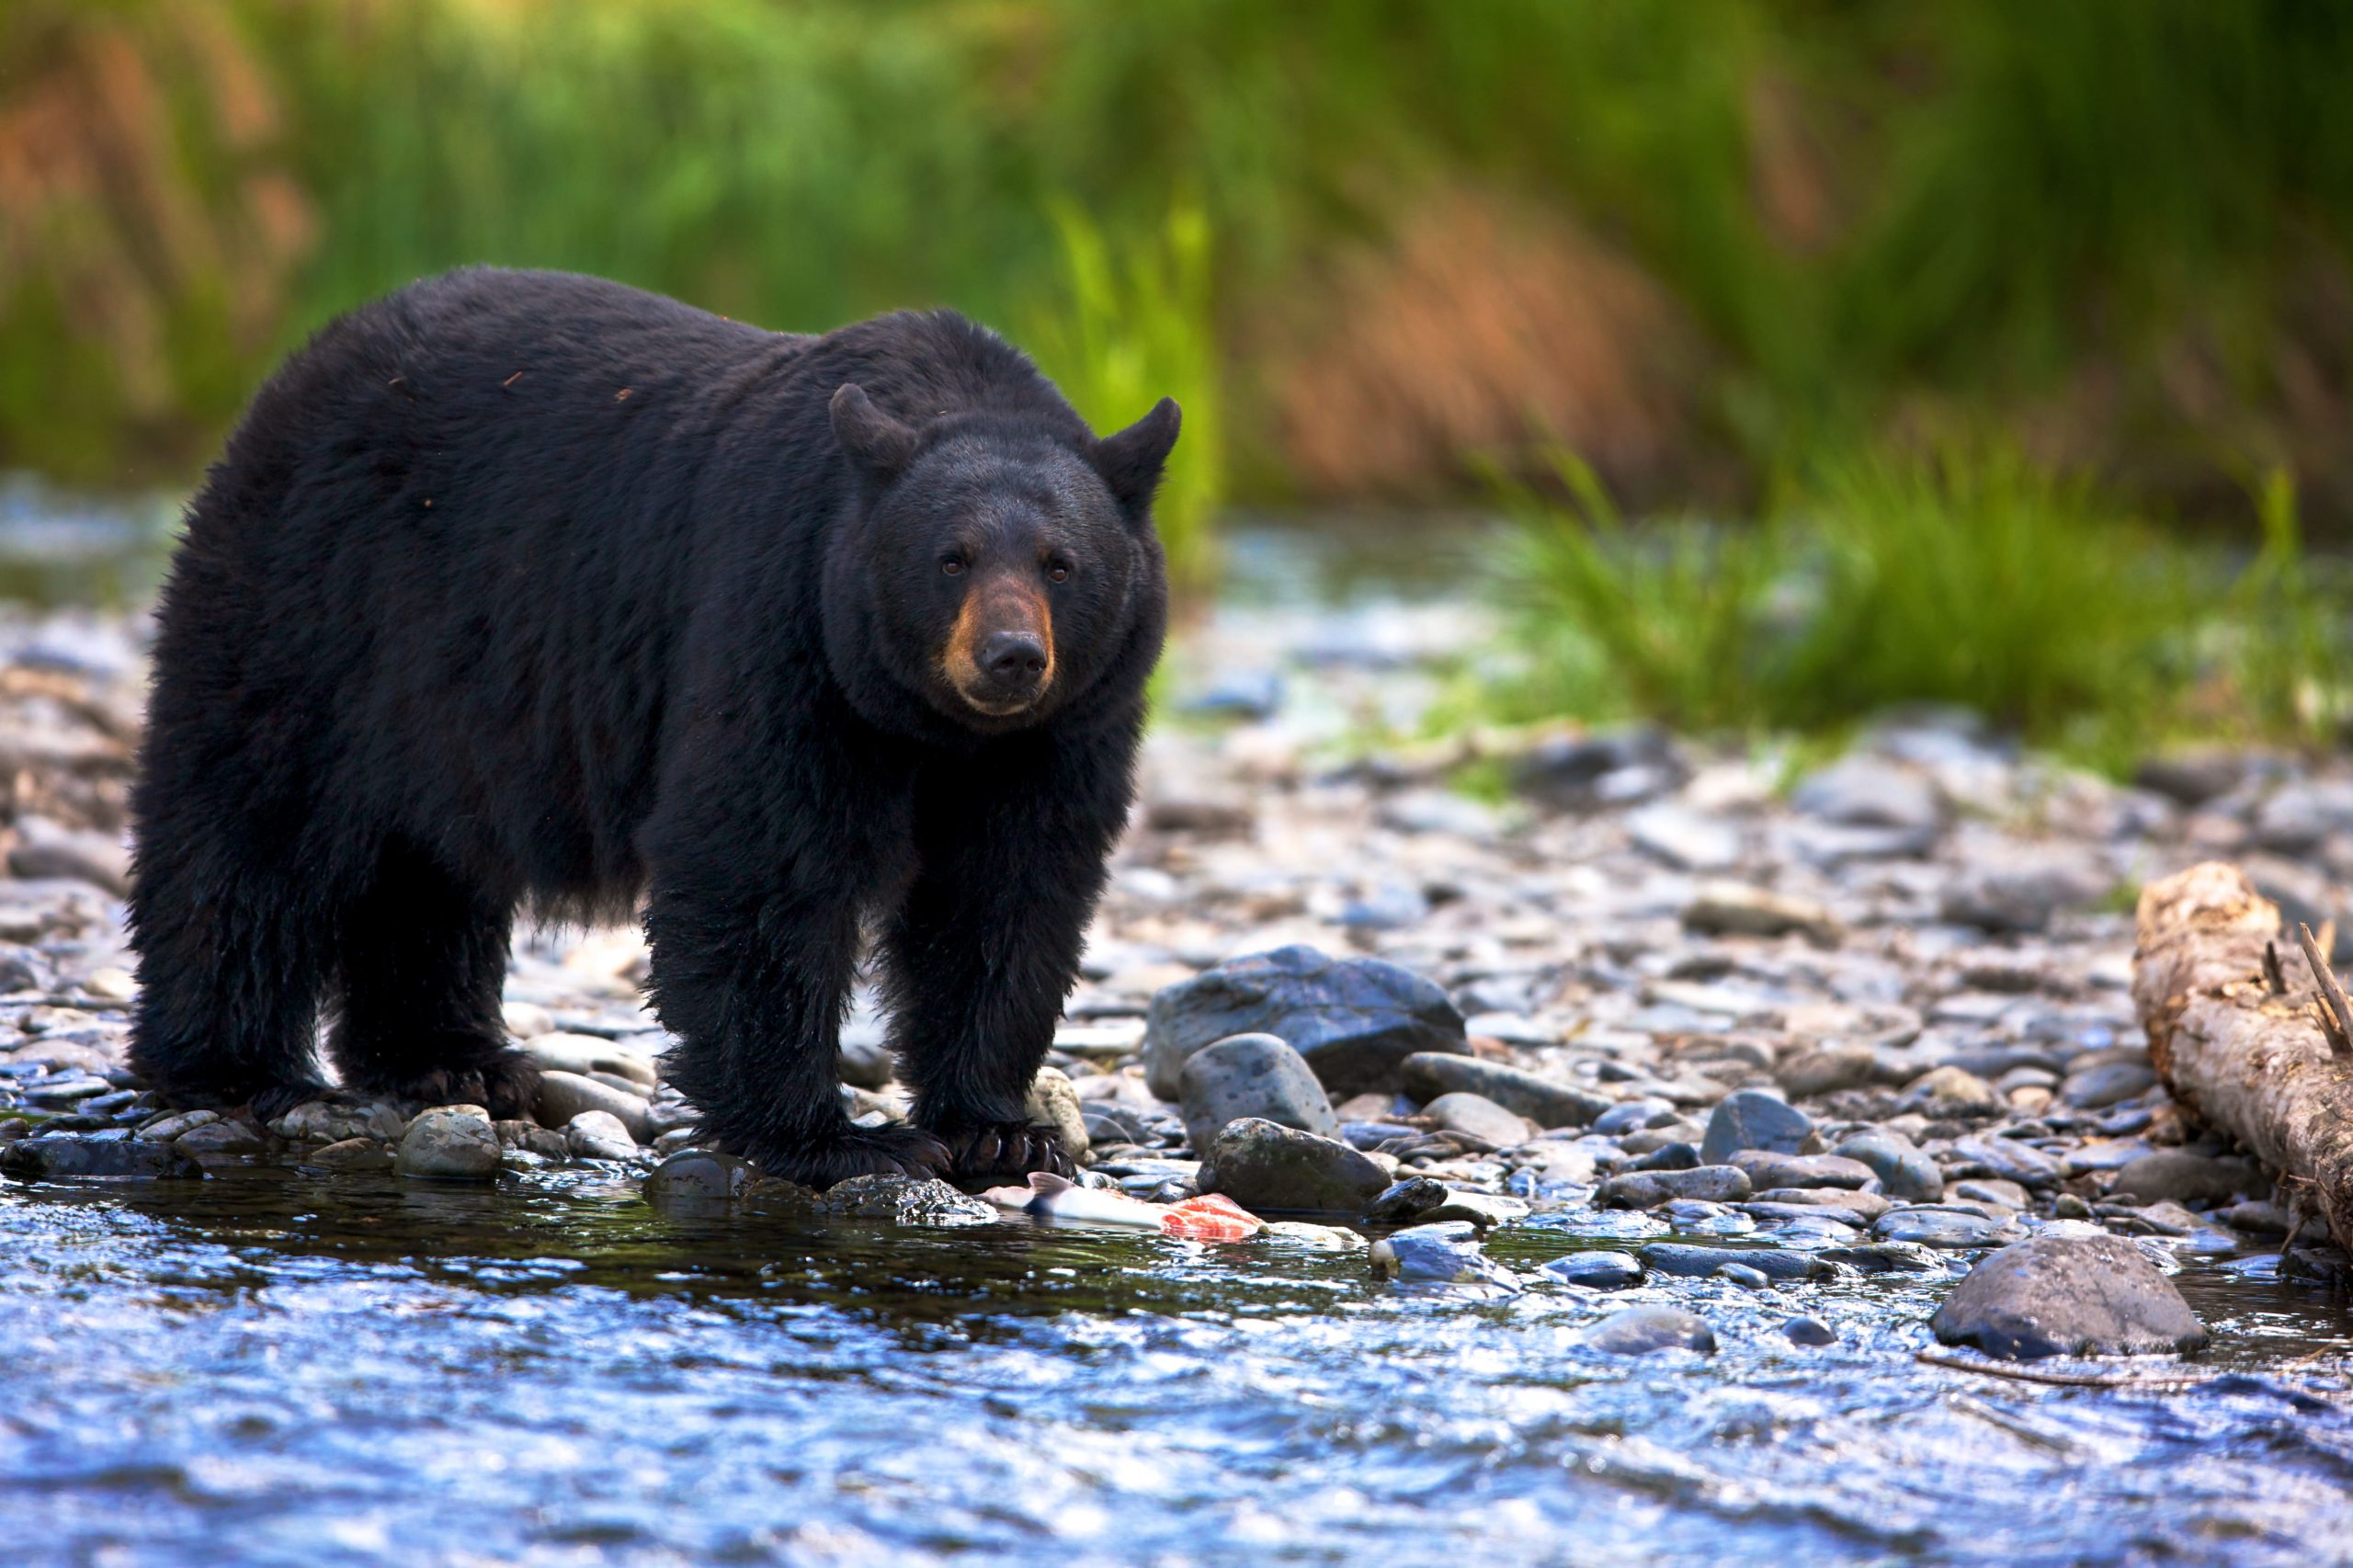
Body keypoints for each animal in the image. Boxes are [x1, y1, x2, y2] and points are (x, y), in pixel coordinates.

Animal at [124, 262, 1171, 1176]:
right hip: (315, 602)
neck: (932, 726)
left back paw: (454, 1058)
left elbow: (1007, 893)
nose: (1010, 657)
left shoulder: (1060, 730)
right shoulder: (781, 622)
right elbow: (764, 861)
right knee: (252, 826)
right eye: (951, 558)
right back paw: (233, 1067)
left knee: (426, 867)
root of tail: (304, 366)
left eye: (1061, 563)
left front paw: (1000, 1130)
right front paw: (831, 1138)